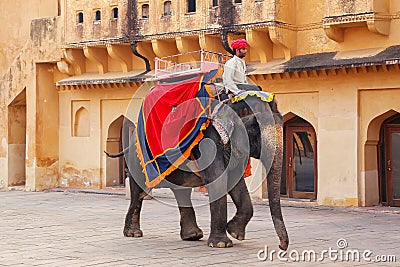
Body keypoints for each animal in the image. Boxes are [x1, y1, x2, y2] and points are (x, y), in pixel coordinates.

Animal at [104, 71, 290, 251]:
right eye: (254, 127)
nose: (281, 246)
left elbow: (236, 182)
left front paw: (235, 233)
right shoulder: (208, 140)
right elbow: (217, 180)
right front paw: (221, 244)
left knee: (181, 192)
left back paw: (192, 235)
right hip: (136, 160)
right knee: (139, 191)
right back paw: (133, 233)